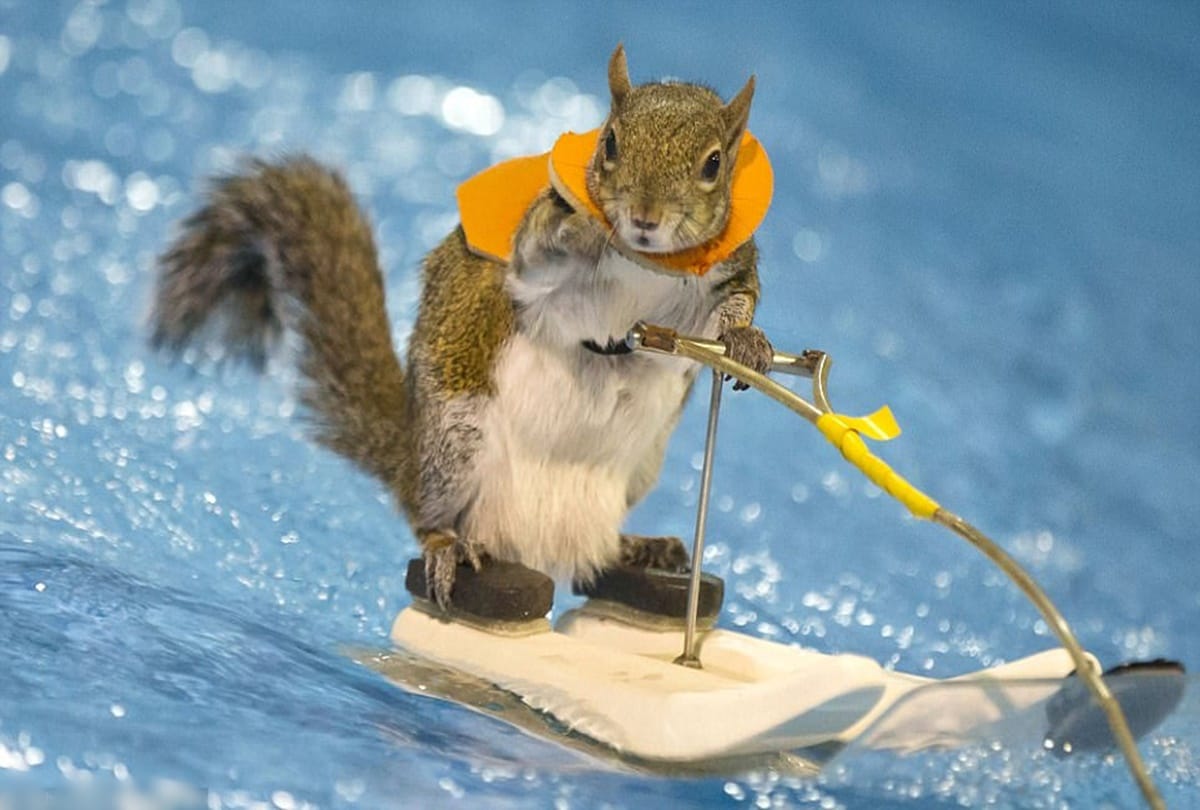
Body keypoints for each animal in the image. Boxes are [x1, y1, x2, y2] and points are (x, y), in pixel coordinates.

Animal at [150, 45, 774, 611]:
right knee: (424, 514)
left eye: (713, 164)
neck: (645, 262)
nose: (644, 218)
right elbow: (534, 255)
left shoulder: (721, 277)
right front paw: (575, 229)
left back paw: (638, 549)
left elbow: (730, 308)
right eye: (611, 142)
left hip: (639, 466)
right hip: (456, 438)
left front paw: (747, 343)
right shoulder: (533, 263)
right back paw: (446, 545)